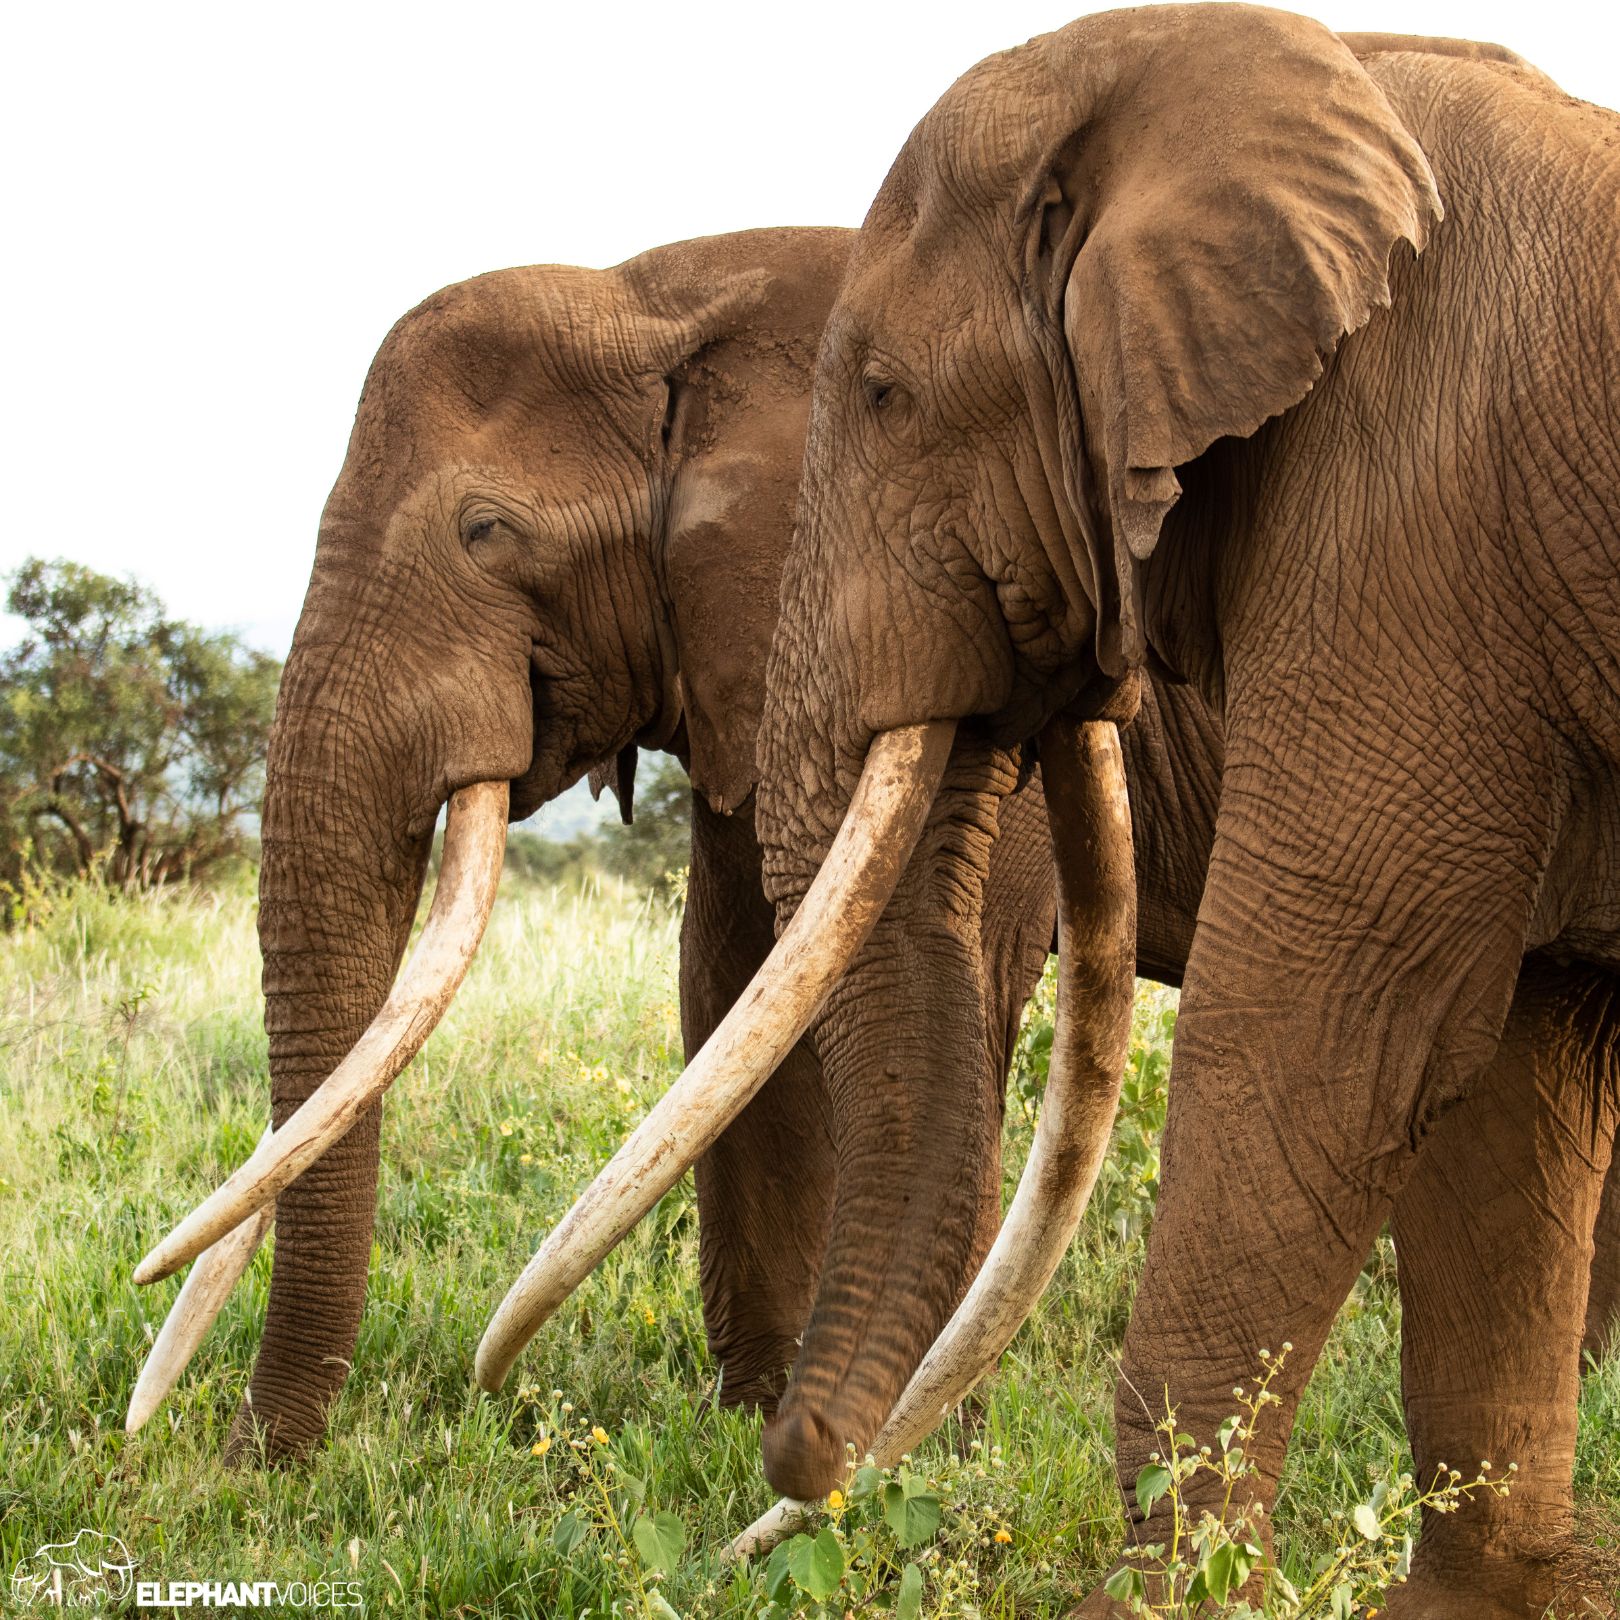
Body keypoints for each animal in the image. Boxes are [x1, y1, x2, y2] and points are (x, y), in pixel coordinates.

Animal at [126, 225, 1057, 1464]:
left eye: (486, 532)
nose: (244, 1466)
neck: (663, 299)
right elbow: (737, 980)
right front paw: (756, 1413)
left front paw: (922, 1458)